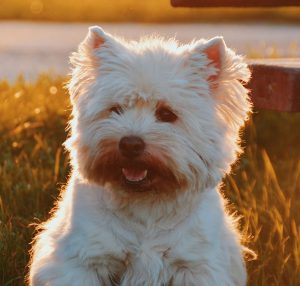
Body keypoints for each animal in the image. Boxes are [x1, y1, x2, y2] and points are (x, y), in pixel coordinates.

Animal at [29, 26, 252, 286]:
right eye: (115, 109)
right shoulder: (83, 260)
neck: (146, 205)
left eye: (167, 114)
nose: (130, 144)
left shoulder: (197, 265)